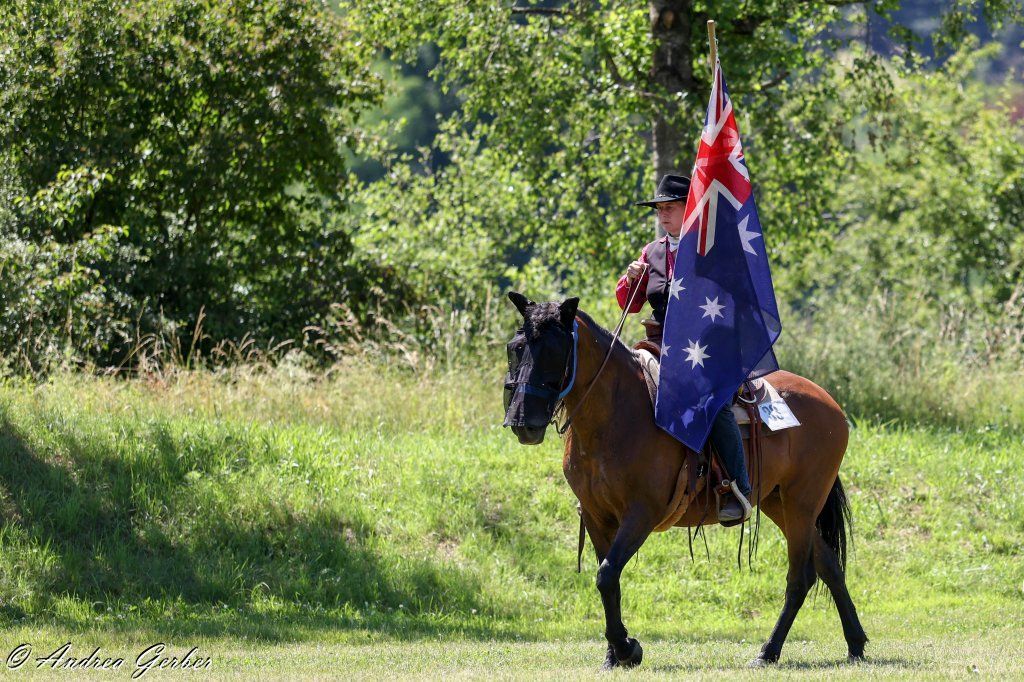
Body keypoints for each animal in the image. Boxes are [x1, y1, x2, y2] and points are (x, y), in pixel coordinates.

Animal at [502, 291, 867, 670]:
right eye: (515, 347)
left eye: (555, 350)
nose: (522, 421)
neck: (616, 414)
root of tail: (830, 403)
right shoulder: (594, 515)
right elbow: (607, 579)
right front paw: (615, 654)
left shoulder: (642, 513)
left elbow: (607, 575)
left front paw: (627, 648)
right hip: (779, 503)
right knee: (829, 565)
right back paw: (855, 643)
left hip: (802, 503)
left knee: (801, 577)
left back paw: (768, 651)